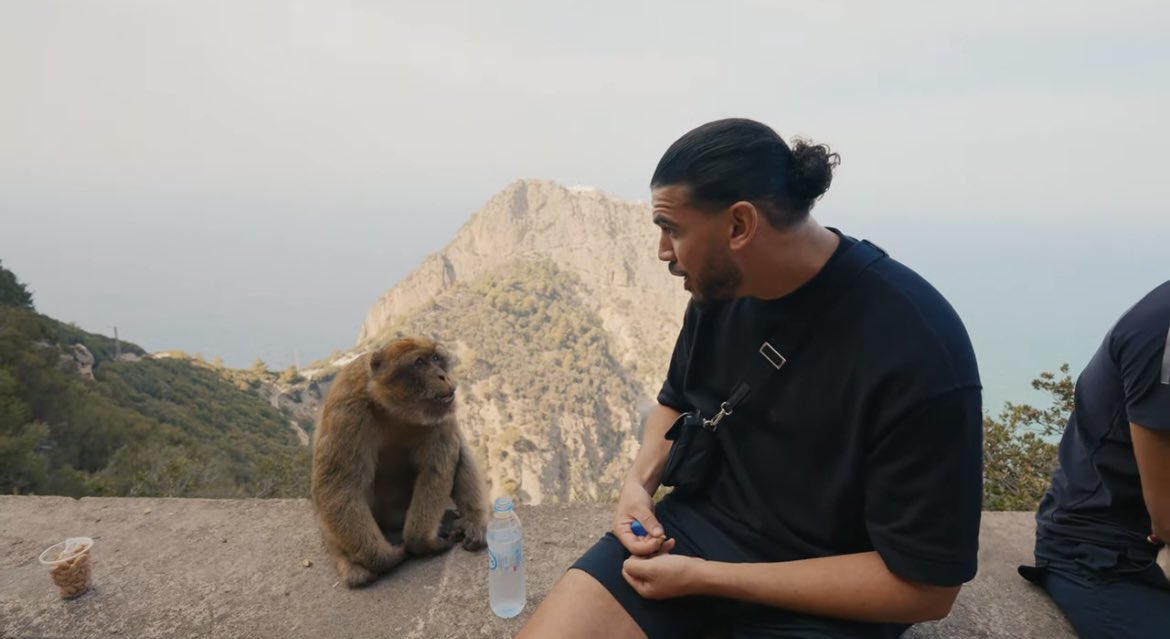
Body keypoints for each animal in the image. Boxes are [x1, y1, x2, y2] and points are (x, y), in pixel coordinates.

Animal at [310, 337, 488, 588]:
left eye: (436, 358)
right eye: (420, 362)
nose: (443, 376)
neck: (395, 409)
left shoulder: (444, 411)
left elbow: (436, 469)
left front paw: (420, 542)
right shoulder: (347, 410)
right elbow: (339, 488)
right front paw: (385, 558)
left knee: (458, 448)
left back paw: (472, 521)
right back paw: (352, 566)